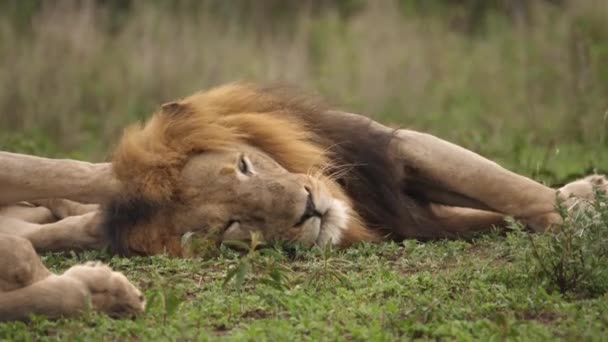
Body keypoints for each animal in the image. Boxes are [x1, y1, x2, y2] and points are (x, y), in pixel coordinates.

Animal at [0, 83, 604, 320]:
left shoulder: (385, 154)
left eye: (245, 165)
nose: (308, 207)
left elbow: (503, 189)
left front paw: (581, 202)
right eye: (231, 228)